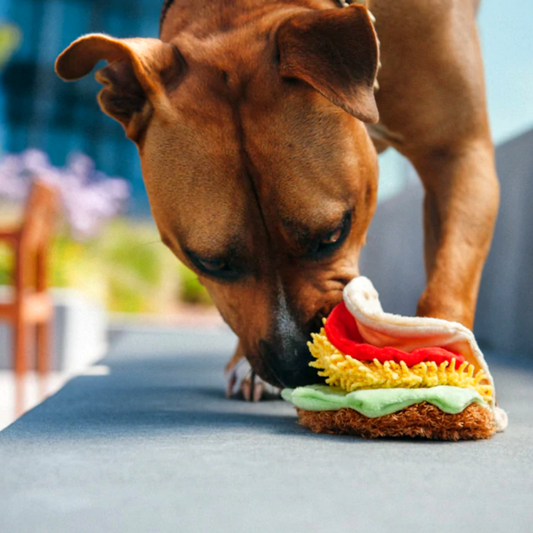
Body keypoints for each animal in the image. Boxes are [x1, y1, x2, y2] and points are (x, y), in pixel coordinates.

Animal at [55, 0, 498, 400]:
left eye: (332, 235)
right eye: (210, 263)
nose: (297, 367)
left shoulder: (459, 155)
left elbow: (448, 277)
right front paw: (247, 368)